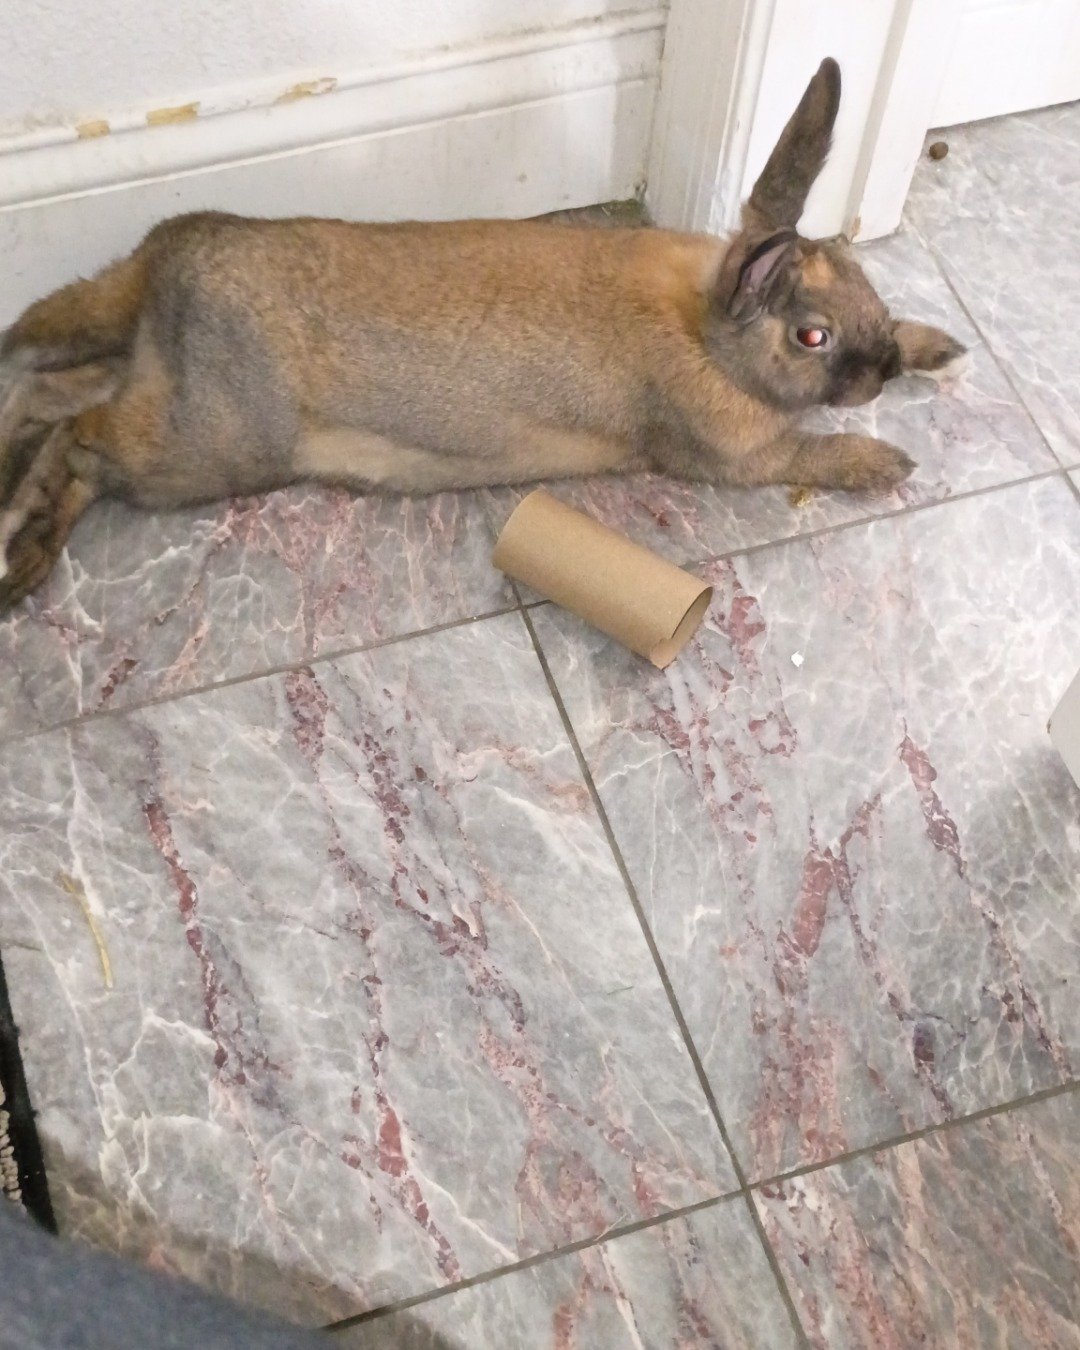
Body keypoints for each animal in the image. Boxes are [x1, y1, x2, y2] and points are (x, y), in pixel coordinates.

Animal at [0, 57, 965, 611]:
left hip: (156, 397)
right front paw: (886, 463)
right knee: (76, 434)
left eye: (865, 284)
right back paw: (23, 551)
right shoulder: (733, 456)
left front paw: (938, 347)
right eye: (811, 337)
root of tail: (162, 261)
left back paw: (24, 549)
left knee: (55, 410)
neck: (704, 328)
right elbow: (808, 454)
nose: (878, 376)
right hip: (207, 445)